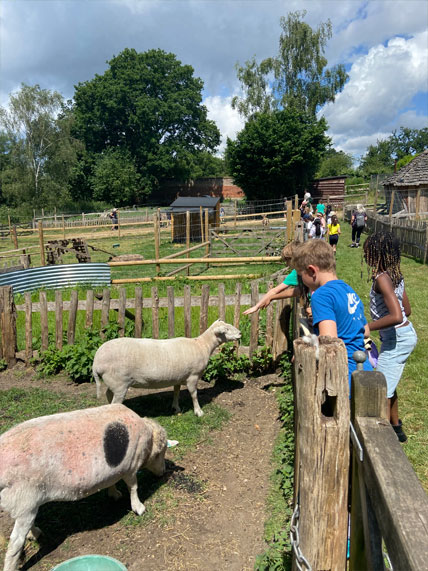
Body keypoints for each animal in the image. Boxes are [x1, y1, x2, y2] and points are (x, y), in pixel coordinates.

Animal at [93, 320, 241, 418]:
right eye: (226, 329)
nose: (240, 333)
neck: (202, 345)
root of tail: (96, 362)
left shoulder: (178, 377)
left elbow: (176, 392)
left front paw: (176, 408)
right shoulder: (193, 376)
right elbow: (194, 394)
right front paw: (198, 411)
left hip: (114, 382)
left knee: (108, 394)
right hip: (120, 384)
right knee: (114, 399)